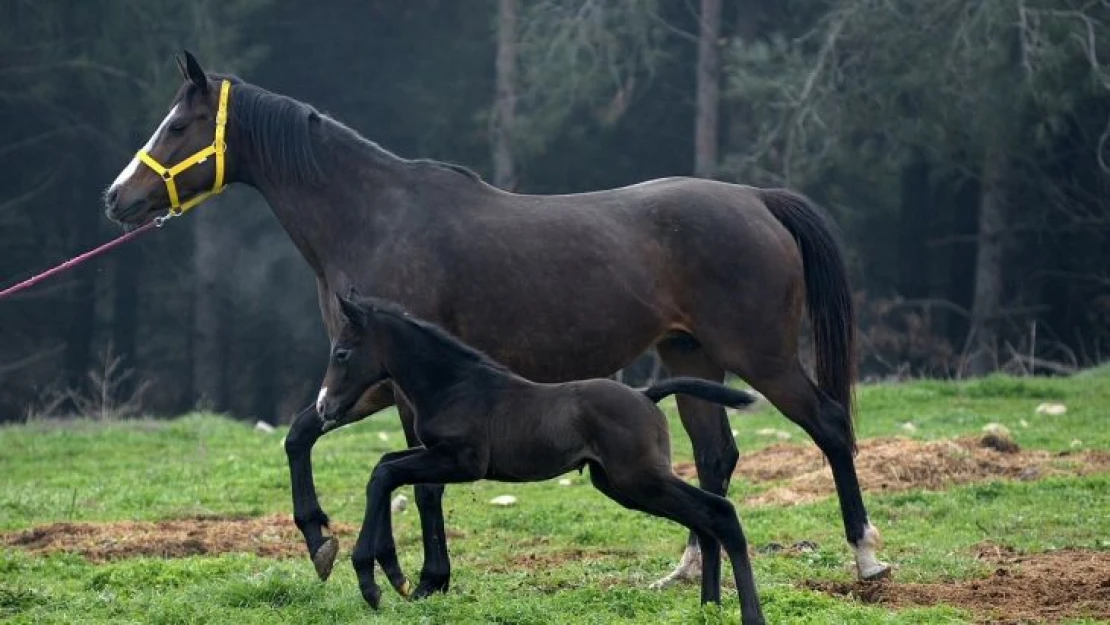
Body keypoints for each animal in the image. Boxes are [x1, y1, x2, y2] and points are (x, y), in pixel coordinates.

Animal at [99, 51, 888, 599]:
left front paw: (418, 573)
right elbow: (304, 435)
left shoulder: (398, 381)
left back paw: (867, 556)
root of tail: (756, 198)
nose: (116, 198)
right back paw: (686, 572)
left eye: (177, 125)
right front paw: (327, 542)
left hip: (761, 355)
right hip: (691, 357)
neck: (373, 215)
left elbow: (419, 479)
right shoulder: (367, 376)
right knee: (715, 459)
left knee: (828, 425)